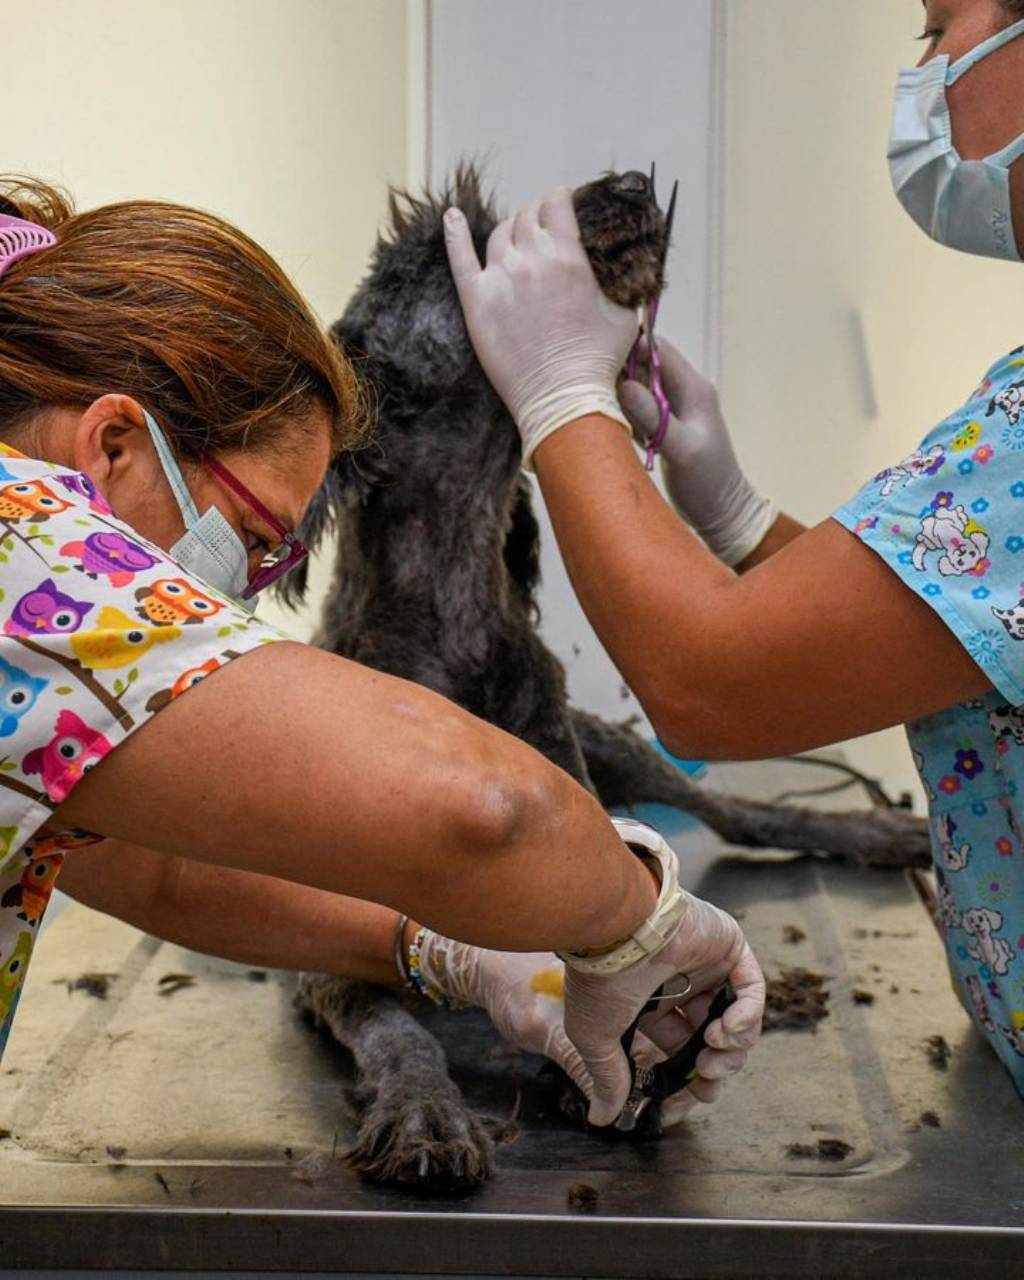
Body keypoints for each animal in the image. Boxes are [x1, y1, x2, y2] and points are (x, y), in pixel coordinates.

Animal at [284, 167, 931, 1187]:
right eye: (460, 241)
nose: (628, 182)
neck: (456, 616)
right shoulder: (332, 954)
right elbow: (399, 1026)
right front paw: (425, 1110)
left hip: (624, 751)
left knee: (736, 813)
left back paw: (869, 830)